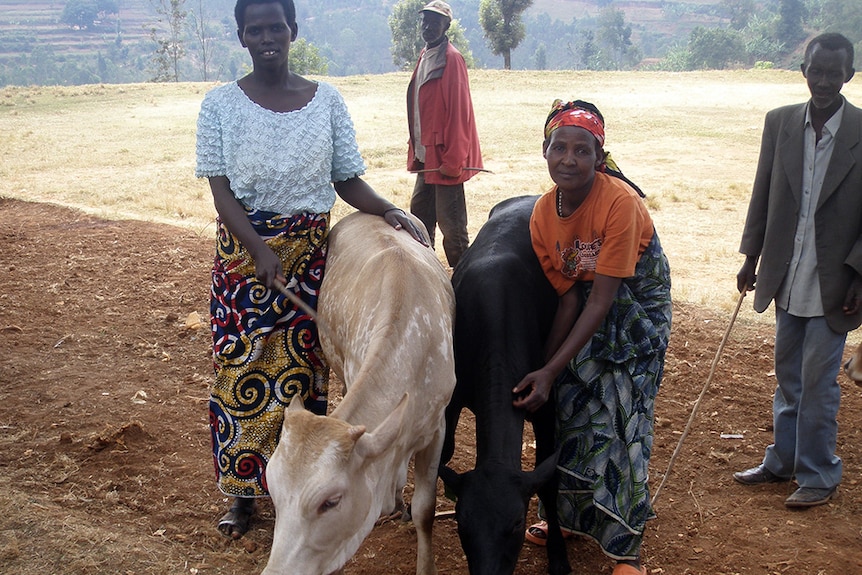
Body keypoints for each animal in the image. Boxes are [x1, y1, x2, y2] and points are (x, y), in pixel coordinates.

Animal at [438, 197, 572, 575]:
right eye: (462, 523)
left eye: (516, 523)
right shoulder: (452, 398)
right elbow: (444, 452)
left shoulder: (544, 404)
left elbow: (548, 478)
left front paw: (558, 555)